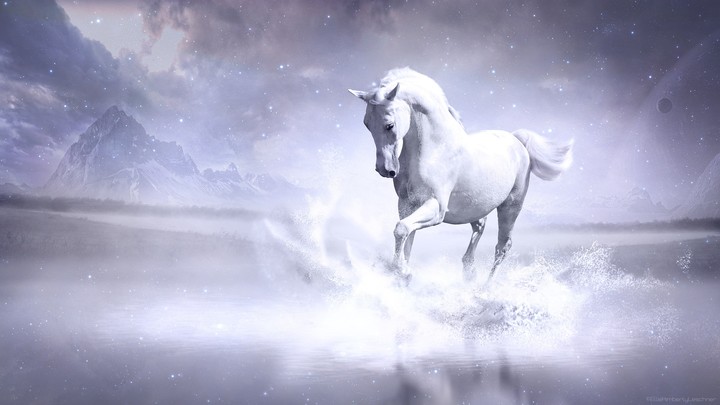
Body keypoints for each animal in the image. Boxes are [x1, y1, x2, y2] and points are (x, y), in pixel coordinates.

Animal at [348, 68, 573, 282]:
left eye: (389, 125)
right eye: (366, 124)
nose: (385, 169)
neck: (435, 150)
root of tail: (517, 140)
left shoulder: (436, 208)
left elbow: (402, 229)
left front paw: (402, 271)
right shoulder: (406, 204)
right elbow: (406, 237)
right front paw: (402, 273)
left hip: (510, 207)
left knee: (502, 247)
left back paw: (485, 287)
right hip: (475, 207)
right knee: (480, 227)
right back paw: (469, 272)